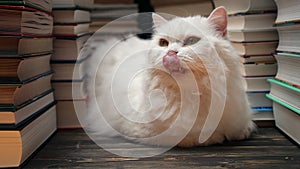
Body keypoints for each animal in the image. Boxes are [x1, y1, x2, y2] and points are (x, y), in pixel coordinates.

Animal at [84, 6, 255, 147]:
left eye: (191, 41)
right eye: (163, 43)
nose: (170, 53)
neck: (191, 95)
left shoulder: (242, 123)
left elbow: (238, 131)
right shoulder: (140, 130)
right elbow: (189, 136)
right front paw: (211, 138)